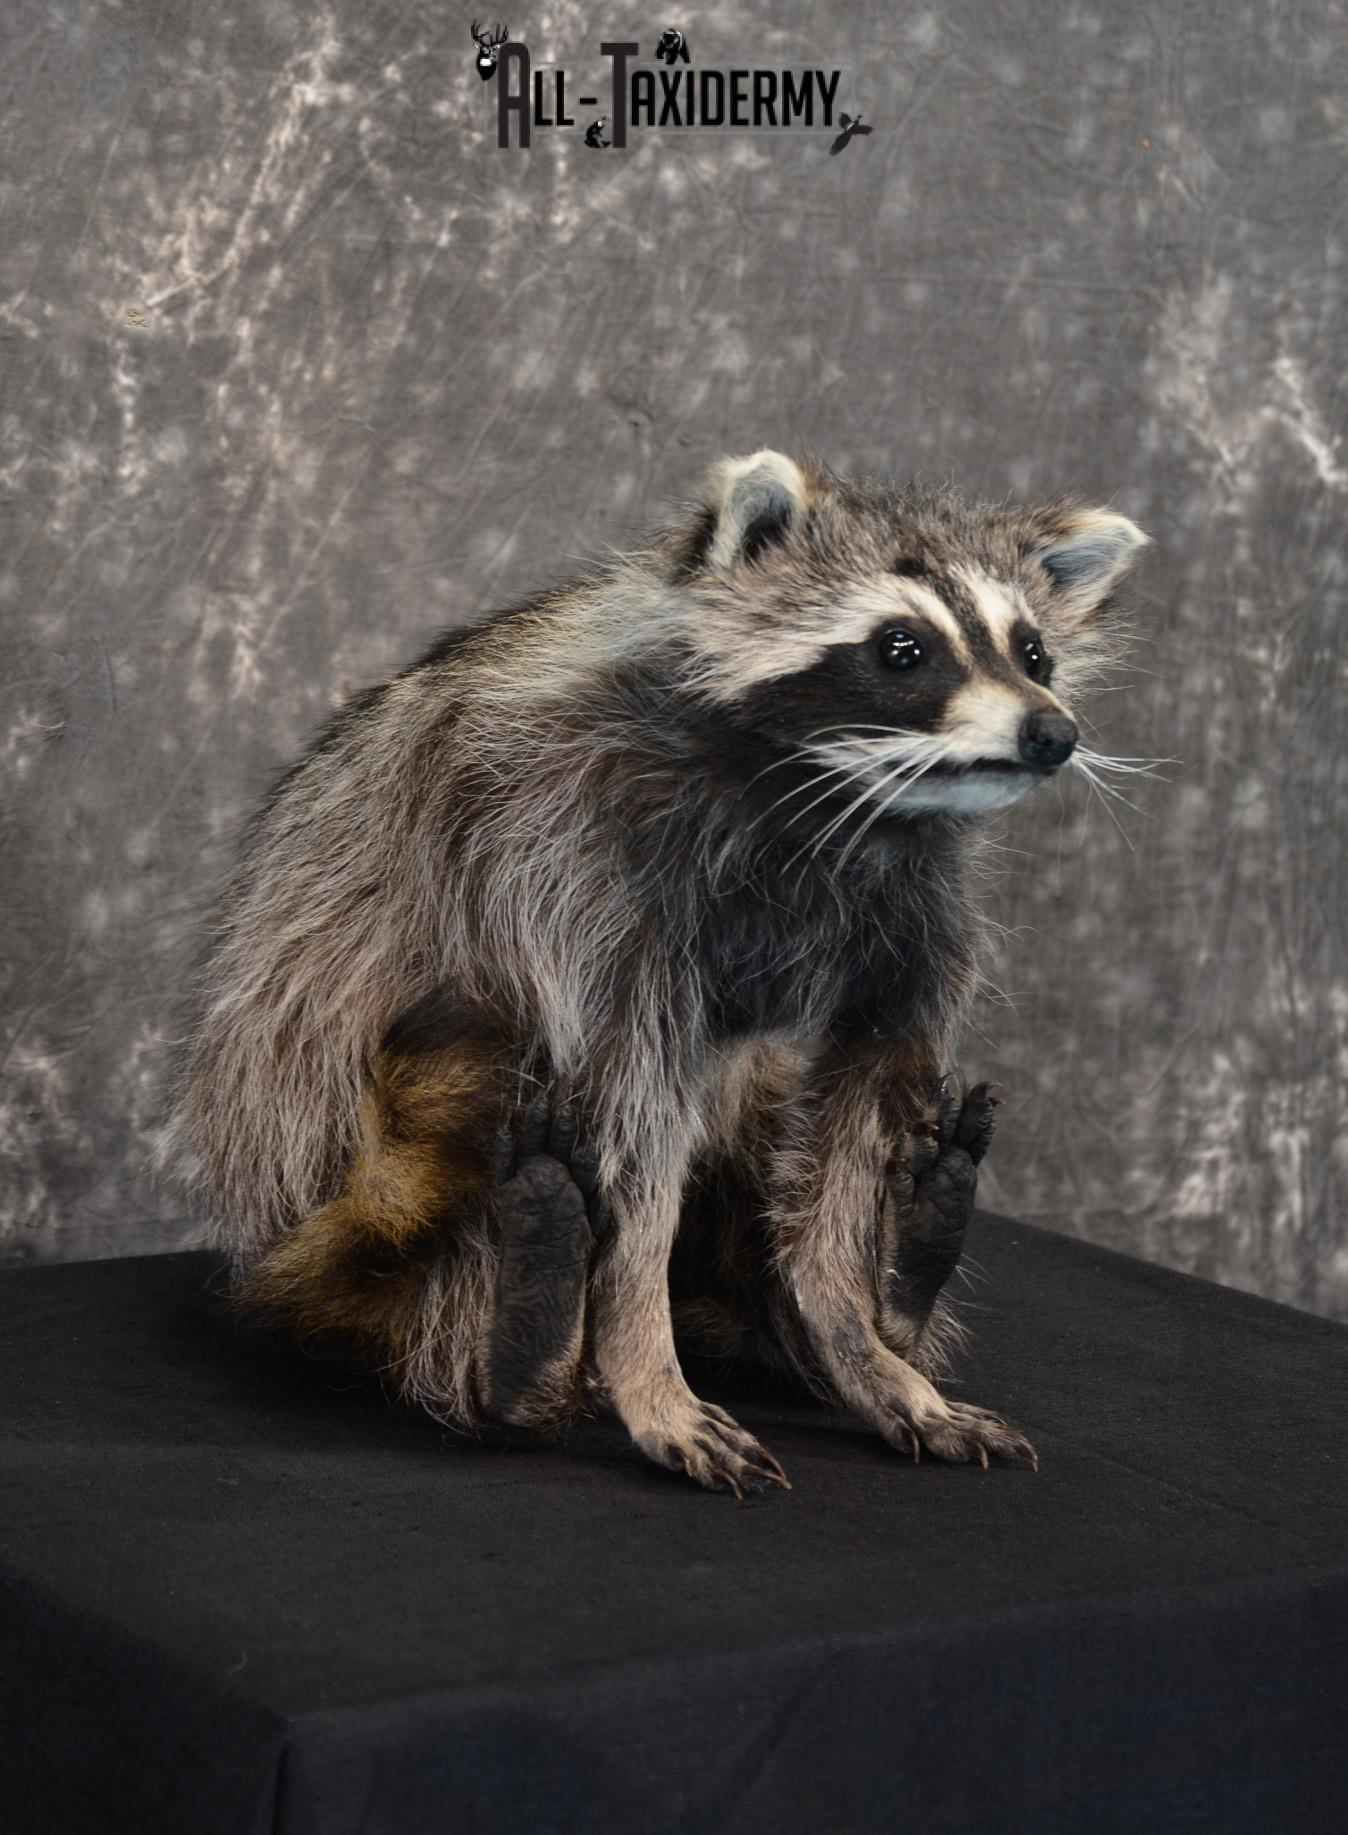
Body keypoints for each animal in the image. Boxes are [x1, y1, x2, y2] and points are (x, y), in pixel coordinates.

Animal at [171, 451, 1148, 1493]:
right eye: (902, 648)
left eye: (1033, 652)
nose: (1051, 730)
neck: (825, 793)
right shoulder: (575, 857)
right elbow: (635, 1136)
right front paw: (644, 1360)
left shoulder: (913, 912)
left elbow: (850, 1133)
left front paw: (855, 1337)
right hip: (326, 1146)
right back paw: (524, 1342)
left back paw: (905, 1271)